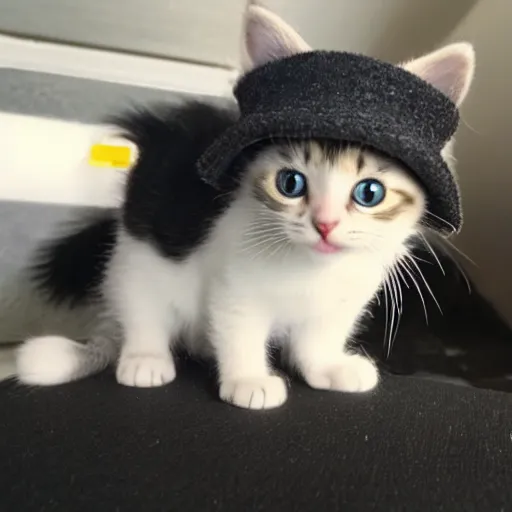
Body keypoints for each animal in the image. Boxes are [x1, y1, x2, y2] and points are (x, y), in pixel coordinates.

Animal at [14, 2, 474, 406]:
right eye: (290, 183)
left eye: (369, 193)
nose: (325, 224)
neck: (313, 268)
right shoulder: (234, 280)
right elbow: (239, 326)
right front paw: (249, 380)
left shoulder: (348, 292)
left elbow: (319, 335)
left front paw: (326, 367)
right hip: (134, 257)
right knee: (141, 304)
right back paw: (144, 357)